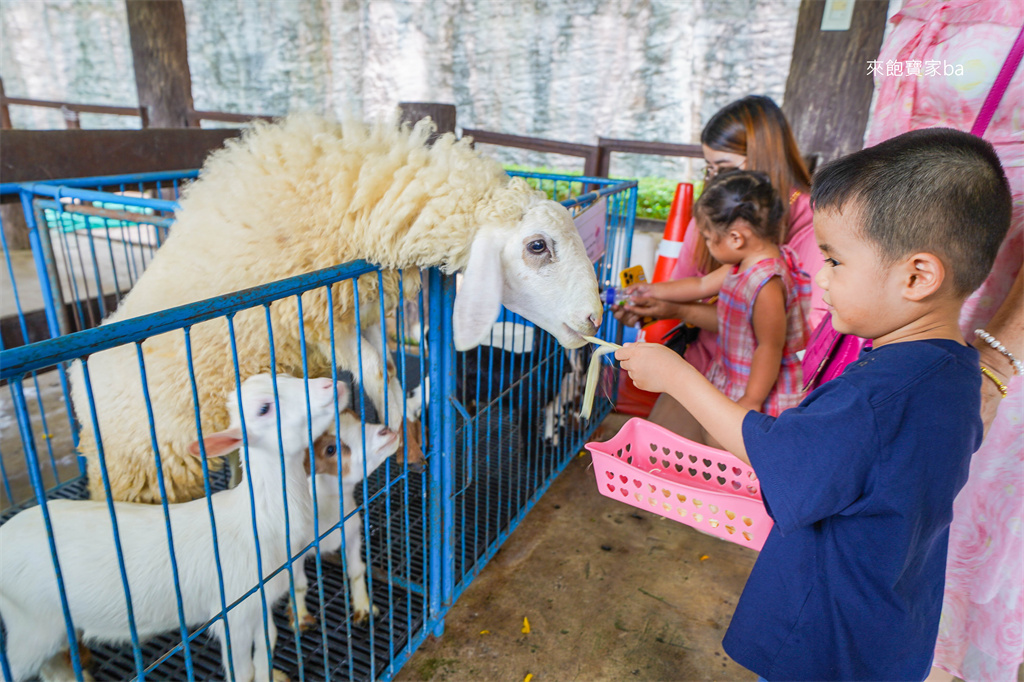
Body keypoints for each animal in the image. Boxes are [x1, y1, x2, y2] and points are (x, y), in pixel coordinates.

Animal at [0, 372, 344, 679]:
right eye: (263, 408)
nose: (333, 384)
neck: (258, 521)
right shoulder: (232, 611)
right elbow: (241, 670)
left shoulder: (259, 599)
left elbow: (267, 644)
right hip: (33, 623)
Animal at [72, 112, 602, 503]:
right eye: (537, 246)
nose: (595, 317)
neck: (358, 196)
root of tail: (80, 376)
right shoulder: (319, 317)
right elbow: (375, 372)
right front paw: (403, 442)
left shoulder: (364, 309)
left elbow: (388, 376)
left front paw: (409, 443)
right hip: (143, 466)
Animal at [290, 405, 401, 630]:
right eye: (330, 450)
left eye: (358, 418)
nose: (385, 431)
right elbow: (298, 584)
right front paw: (301, 619)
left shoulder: (351, 532)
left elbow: (357, 569)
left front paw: (364, 609)